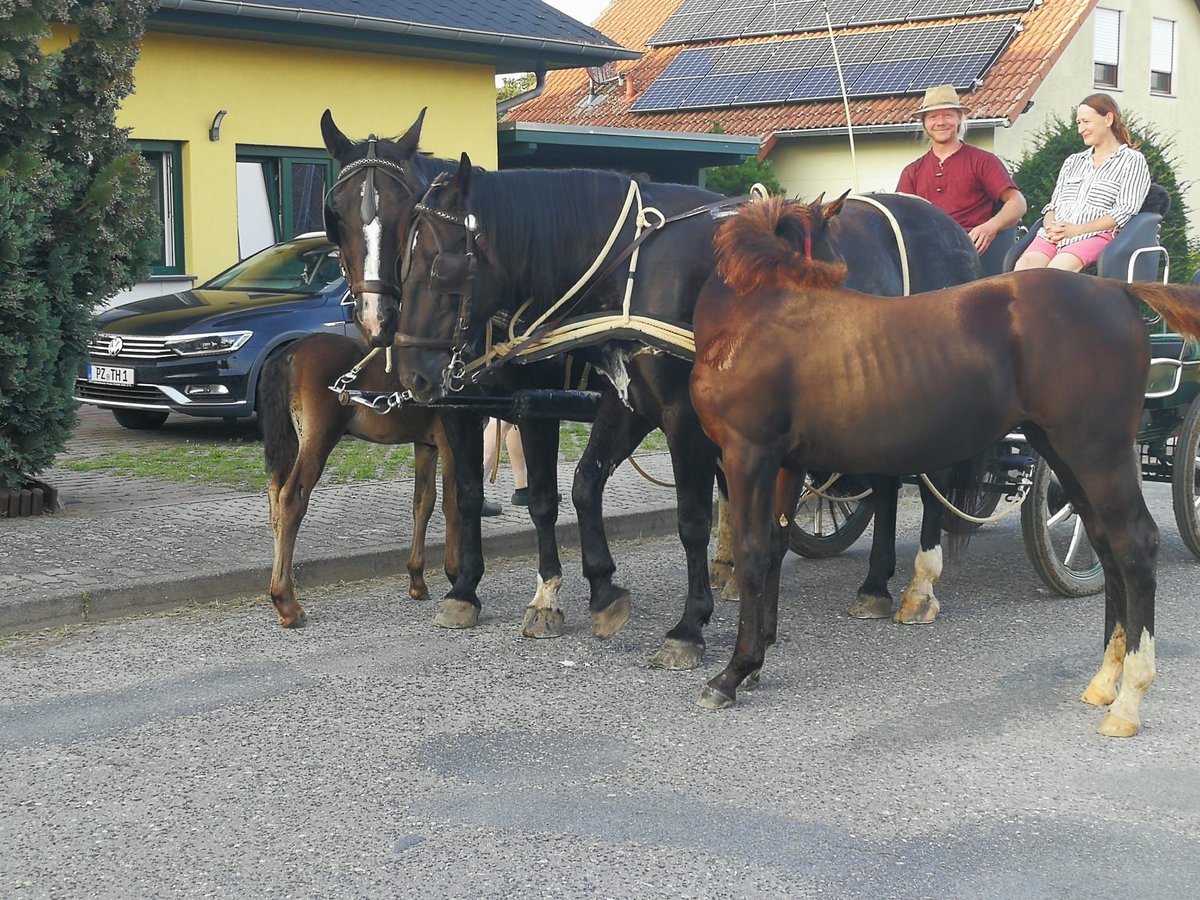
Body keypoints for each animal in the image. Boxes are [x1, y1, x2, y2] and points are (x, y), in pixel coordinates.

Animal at [260, 331, 456, 628]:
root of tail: (288, 354)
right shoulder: (449, 439)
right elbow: (454, 504)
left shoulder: (426, 444)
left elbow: (423, 503)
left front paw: (417, 581)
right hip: (317, 439)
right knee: (291, 498)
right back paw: (287, 605)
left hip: (292, 442)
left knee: (275, 499)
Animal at [691, 194, 1200, 734]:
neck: (755, 313)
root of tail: (1118, 290)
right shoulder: (784, 463)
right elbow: (773, 547)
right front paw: (756, 661)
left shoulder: (749, 454)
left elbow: (751, 552)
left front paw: (731, 673)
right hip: (1065, 454)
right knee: (1106, 543)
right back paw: (1105, 682)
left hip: (1095, 452)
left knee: (1134, 544)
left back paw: (1128, 701)